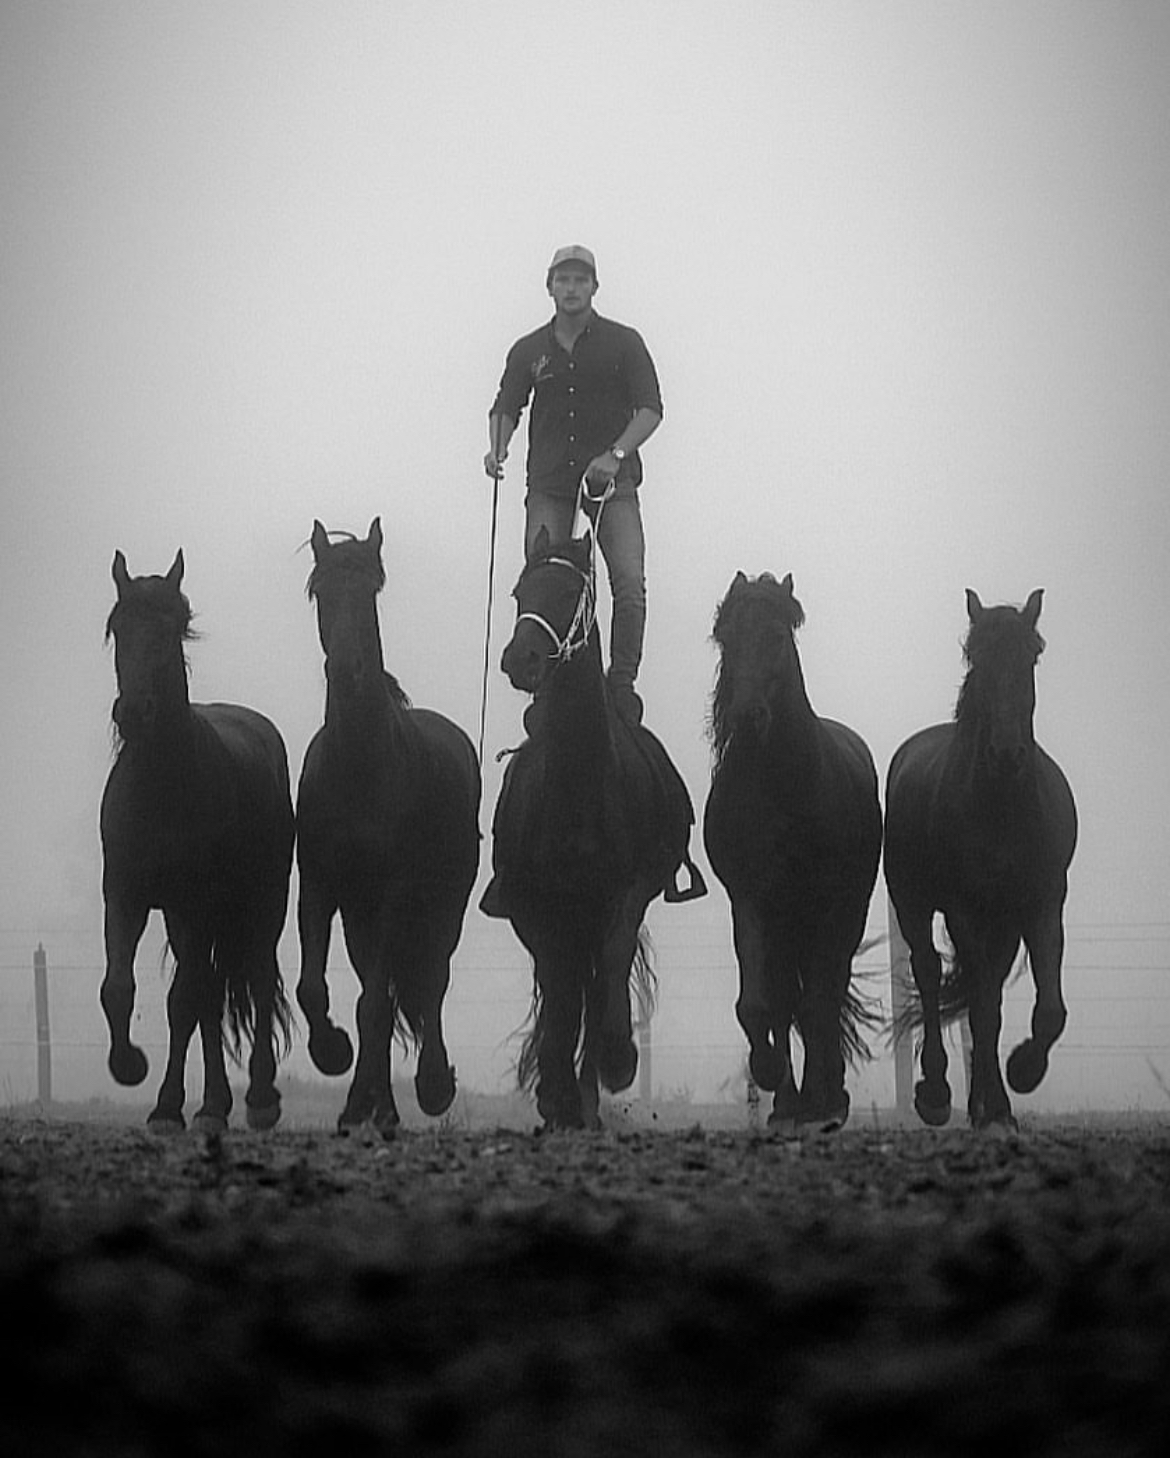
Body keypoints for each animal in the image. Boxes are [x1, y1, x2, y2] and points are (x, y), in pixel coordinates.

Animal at [98, 548, 294, 1125]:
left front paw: (163, 1100)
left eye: (169, 630)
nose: (133, 713)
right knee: (207, 994)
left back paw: (259, 1098)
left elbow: (184, 999)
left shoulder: (199, 901)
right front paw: (134, 1072)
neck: (163, 782)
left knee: (254, 979)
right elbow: (119, 987)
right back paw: (211, 1103)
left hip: (262, 903)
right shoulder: (125, 895)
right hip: (185, 917)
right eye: (119, 628)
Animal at [294, 519, 481, 1131]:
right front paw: (333, 1055)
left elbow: (381, 1002)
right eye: (320, 592)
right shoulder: (320, 887)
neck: (360, 766)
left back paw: (428, 1088)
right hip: (361, 916)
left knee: (429, 984)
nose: (346, 670)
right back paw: (377, 1103)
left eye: (371, 591)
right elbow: (315, 990)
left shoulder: (396, 894)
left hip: (442, 906)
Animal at [481, 530, 706, 1131]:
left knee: (598, 981)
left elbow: (607, 975)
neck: (580, 782)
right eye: (520, 592)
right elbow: (561, 996)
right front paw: (555, 1094)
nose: (520, 658)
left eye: (567, 593)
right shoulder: (535, 908)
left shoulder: (626, 893)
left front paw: (615, 1060)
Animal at [703, 574, 875, 1131]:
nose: (745, 715)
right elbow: (763, 1004)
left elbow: (818, 1004)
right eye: (727, 640)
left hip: (843, 914)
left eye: (777, 637)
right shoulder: (751, 900)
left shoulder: (829, 905)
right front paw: (774, 1079)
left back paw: (827, 1096)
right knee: (789, 997)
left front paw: (823, 1099)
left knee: (826, 995)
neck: (785, 787)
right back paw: (791, 1101)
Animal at [886, 589, 1073, 1125]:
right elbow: (984, 1009)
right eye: (977, 657)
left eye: (1031, 656)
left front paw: (1021, 1076)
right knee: (932, 977)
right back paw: (936, 1094)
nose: (1007, 753)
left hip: (1002, 925)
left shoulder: (1042, 907)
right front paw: (1003, 1090)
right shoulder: (965, 911)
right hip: (914, 905)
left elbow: (1048, 1010)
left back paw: (986, 1103)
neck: (1002, 807)